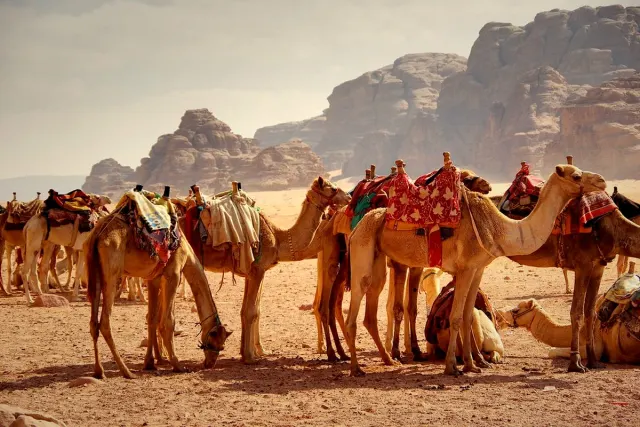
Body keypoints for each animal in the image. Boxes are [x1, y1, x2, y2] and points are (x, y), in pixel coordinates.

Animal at [85, 190, 232, 379]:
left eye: (222, 346)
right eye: (216, 344)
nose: (209, 364)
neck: (187, 253)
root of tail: (97, 234)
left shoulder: (153, 279)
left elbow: (152, 318)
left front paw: (150, 362)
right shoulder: (173, 274)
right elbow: (168, 321)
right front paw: (177, 364)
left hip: (94, 270)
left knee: (93, 323)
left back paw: (99, 371)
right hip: (111, 272)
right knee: (104, 322)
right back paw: (126, 371)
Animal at [186, 177, 350, 364]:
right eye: (333, 189)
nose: (348, 197)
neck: (277, 237)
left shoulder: (251, 272)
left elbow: (247, 311)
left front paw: (247, 352)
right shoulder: (258, 269)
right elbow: (250, 312)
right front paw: (250, 357)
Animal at [346, 154, 606, 376]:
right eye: (576, 176)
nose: (602, 181)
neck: (497, 228)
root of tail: (360, 224)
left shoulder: (478, 269)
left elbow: (468, 315)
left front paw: (473, 364)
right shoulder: (465, 269)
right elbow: (456, 317)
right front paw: (452, 366)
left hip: (378, 258)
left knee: (371, 306)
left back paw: (389, 359)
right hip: (362, 250)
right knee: (356, 303)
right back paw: (356, 368)